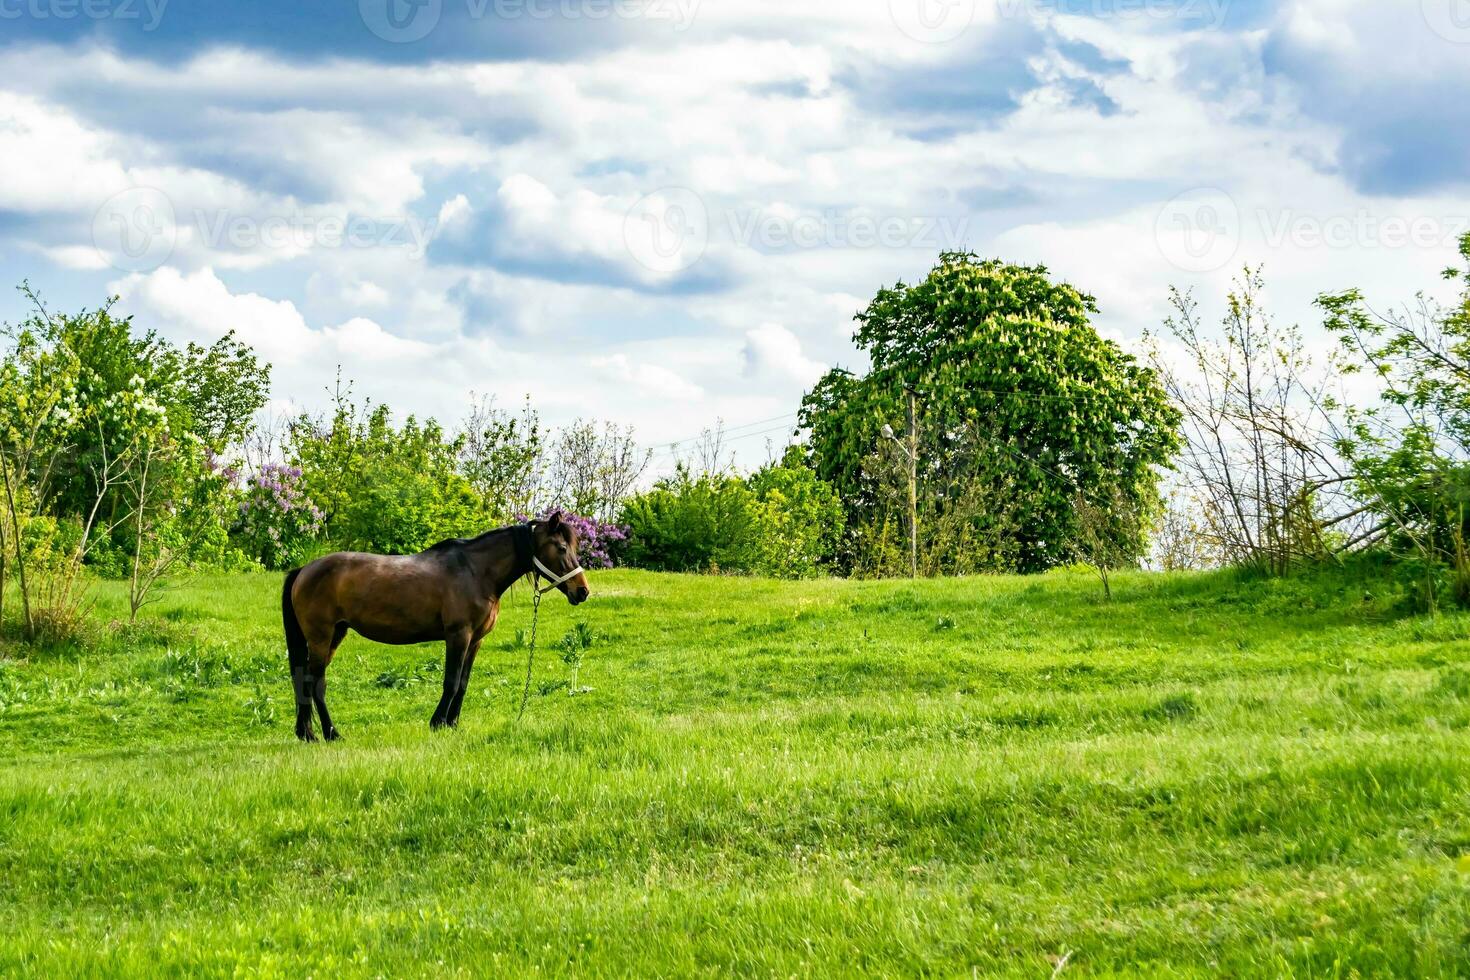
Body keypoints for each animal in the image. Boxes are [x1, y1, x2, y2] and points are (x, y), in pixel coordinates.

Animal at [279, 517, 585, 740]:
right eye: (561, 548)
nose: (582, 591)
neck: (475, 571)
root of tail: (304, 569)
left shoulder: (475, 641)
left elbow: (463, 683)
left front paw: (453, 723)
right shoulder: (458, 635)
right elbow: (451, 681)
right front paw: (438, 722)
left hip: (335, 635)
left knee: (304, 680)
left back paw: (306, 733)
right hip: (321, 637)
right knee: (316, 683)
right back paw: (331, 734)